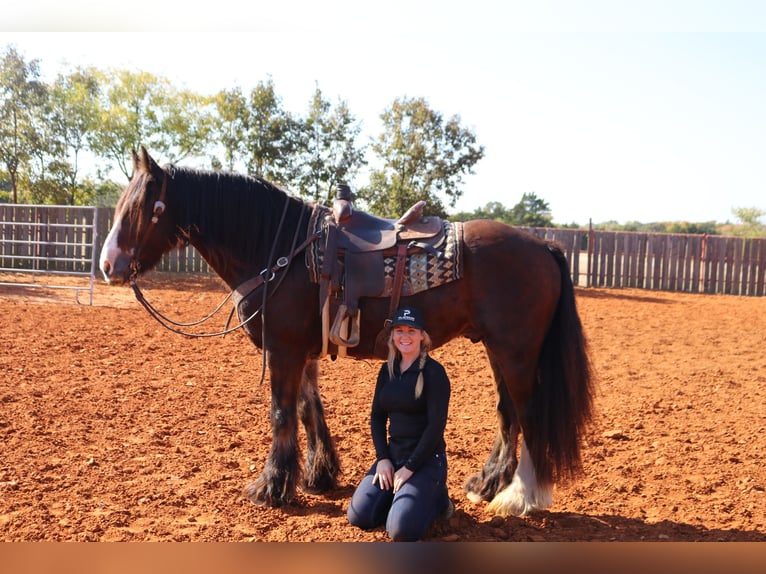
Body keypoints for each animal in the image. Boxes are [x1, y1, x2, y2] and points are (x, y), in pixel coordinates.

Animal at [100, 147, 592, 516]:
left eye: (150, 208)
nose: (109, 265)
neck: (283, 250)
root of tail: (543, 244)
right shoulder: (303, 351)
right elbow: (308, 409)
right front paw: (318, 475)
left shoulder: (283, 350)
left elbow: (281, 413)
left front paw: (271, 487)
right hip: (497, 349)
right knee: (508, 413)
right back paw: (488, 483)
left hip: (517, 351)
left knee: (528, 413)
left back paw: (521, 496)